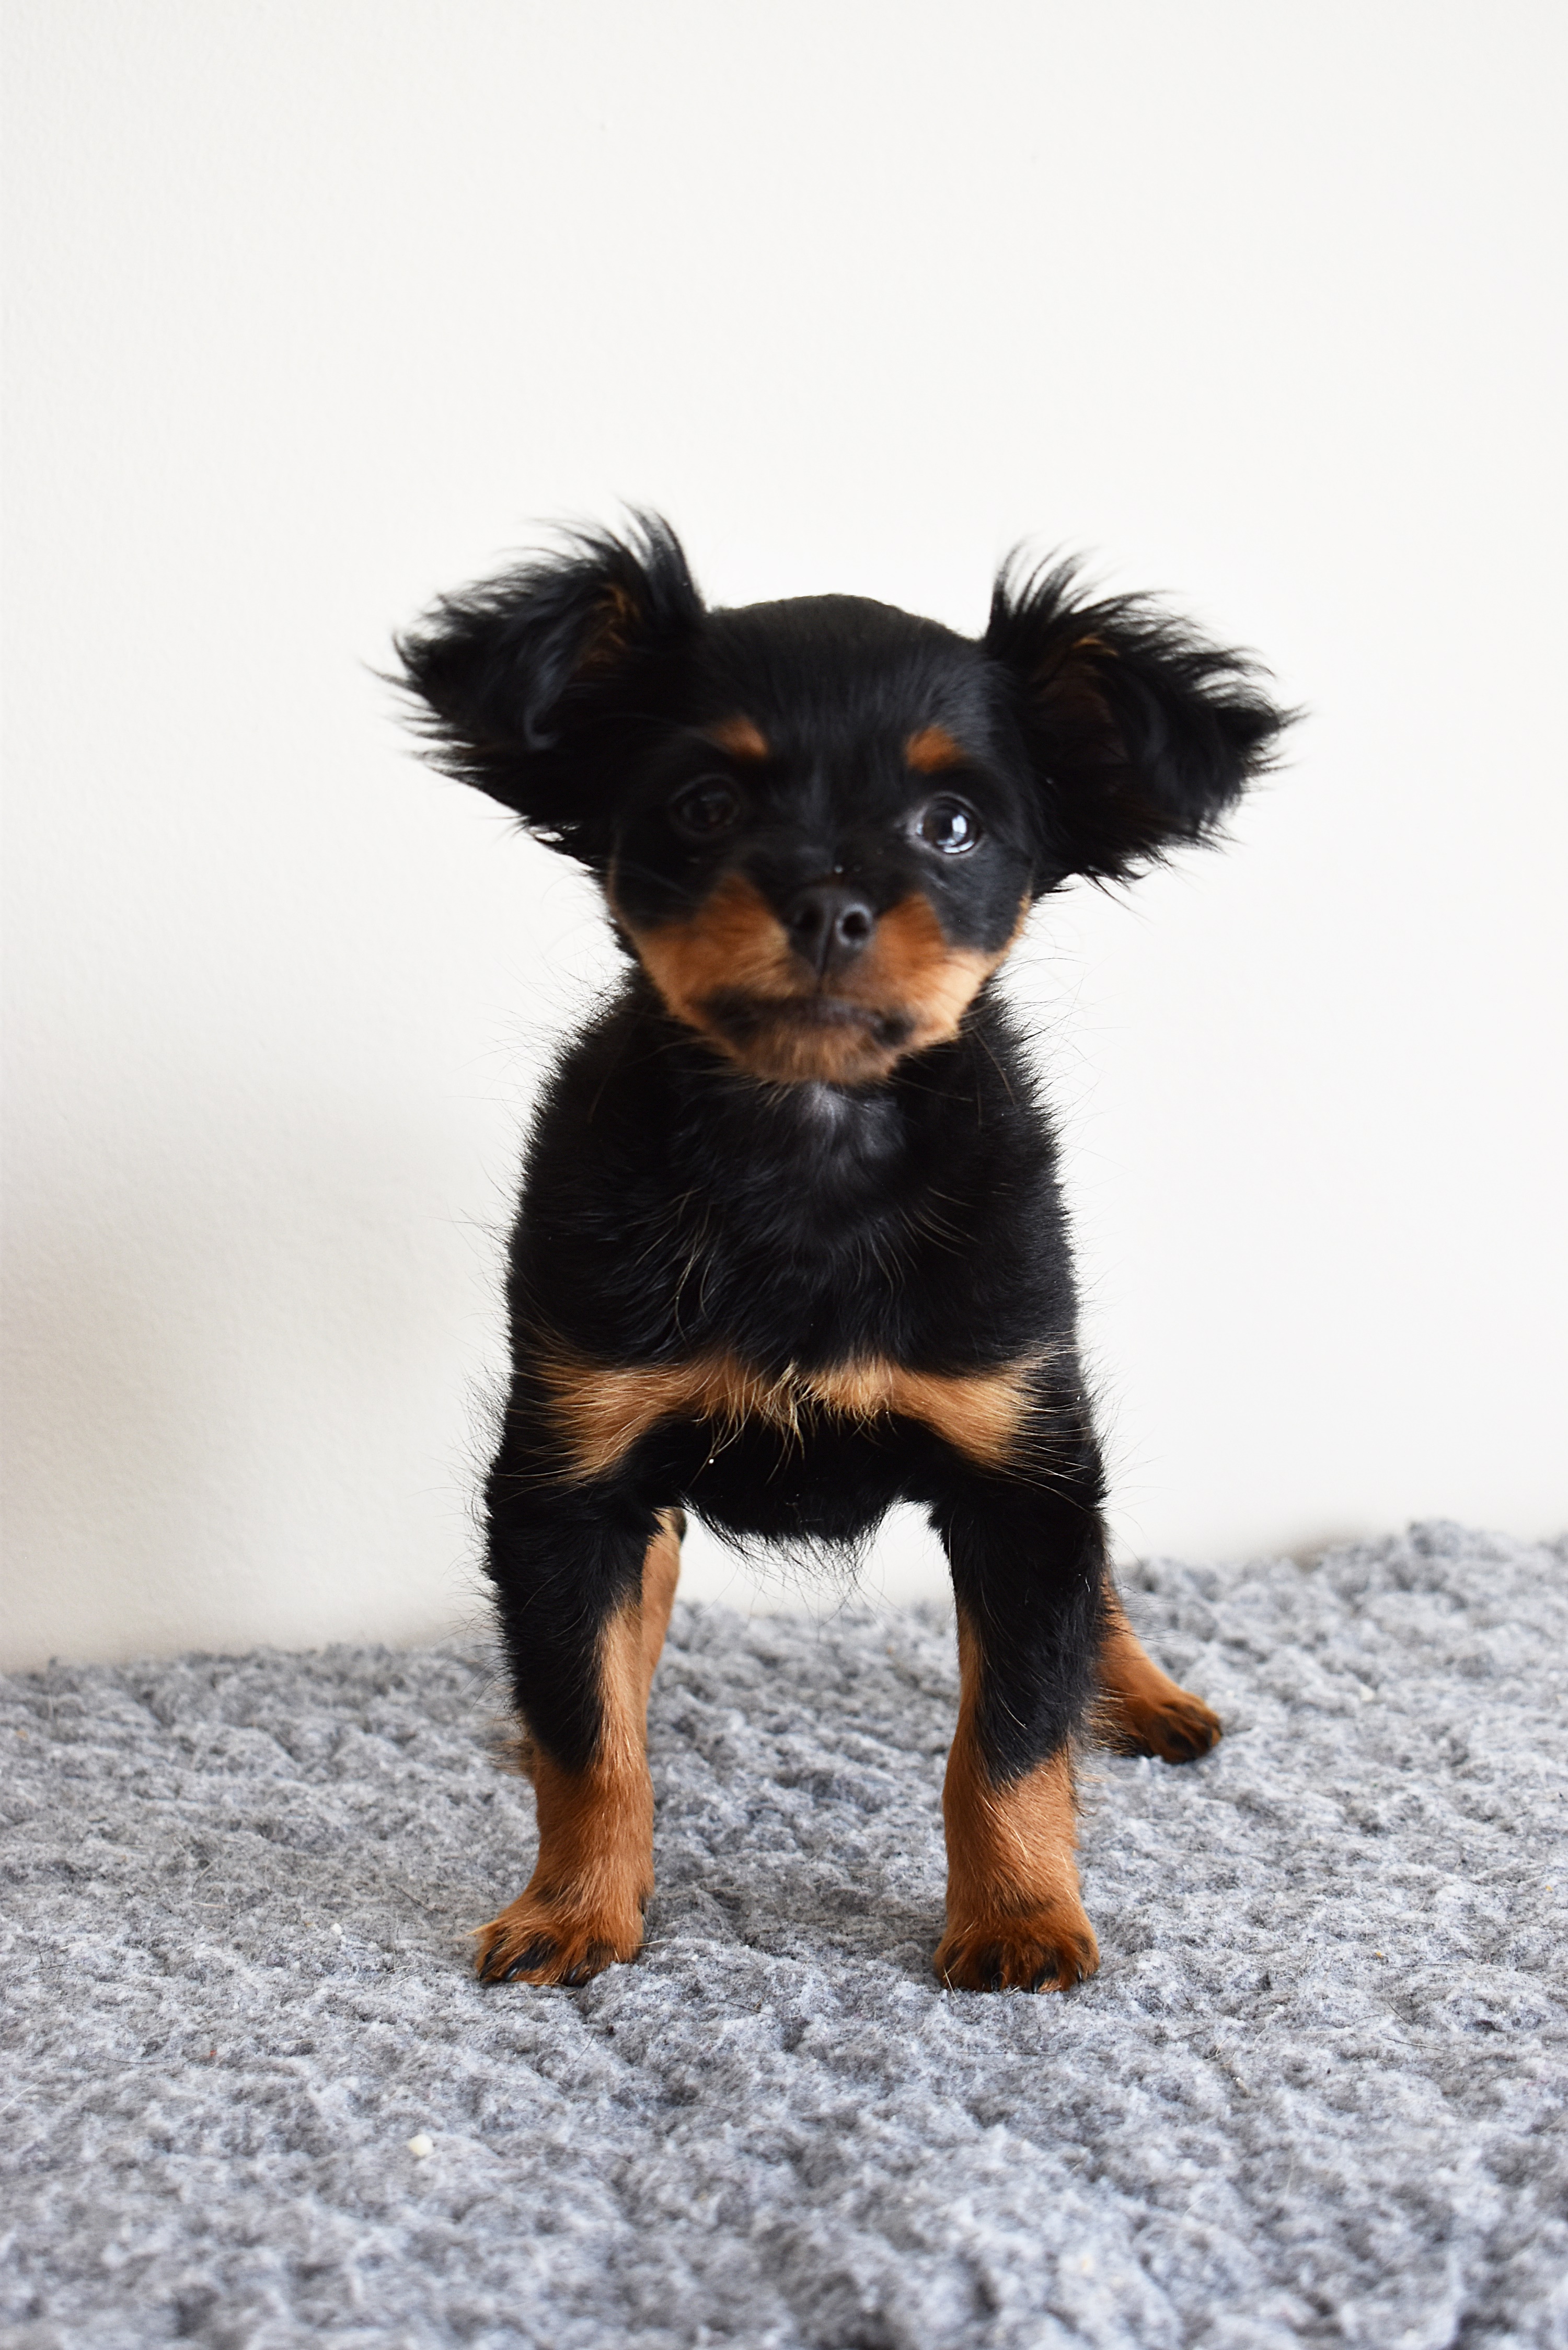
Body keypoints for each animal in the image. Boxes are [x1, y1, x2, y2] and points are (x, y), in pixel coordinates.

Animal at [397, 517, 1287, 1993]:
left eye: (952, 824)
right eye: (704, 805)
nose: (825, 905)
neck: (801, 1156)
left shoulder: (1020, 1470)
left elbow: (1008, 1735)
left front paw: (1019, 1917)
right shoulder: (570, 1480)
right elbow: (589, 1737)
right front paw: (574, 1908)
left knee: (1090, 1599)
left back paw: (1139, 1695)